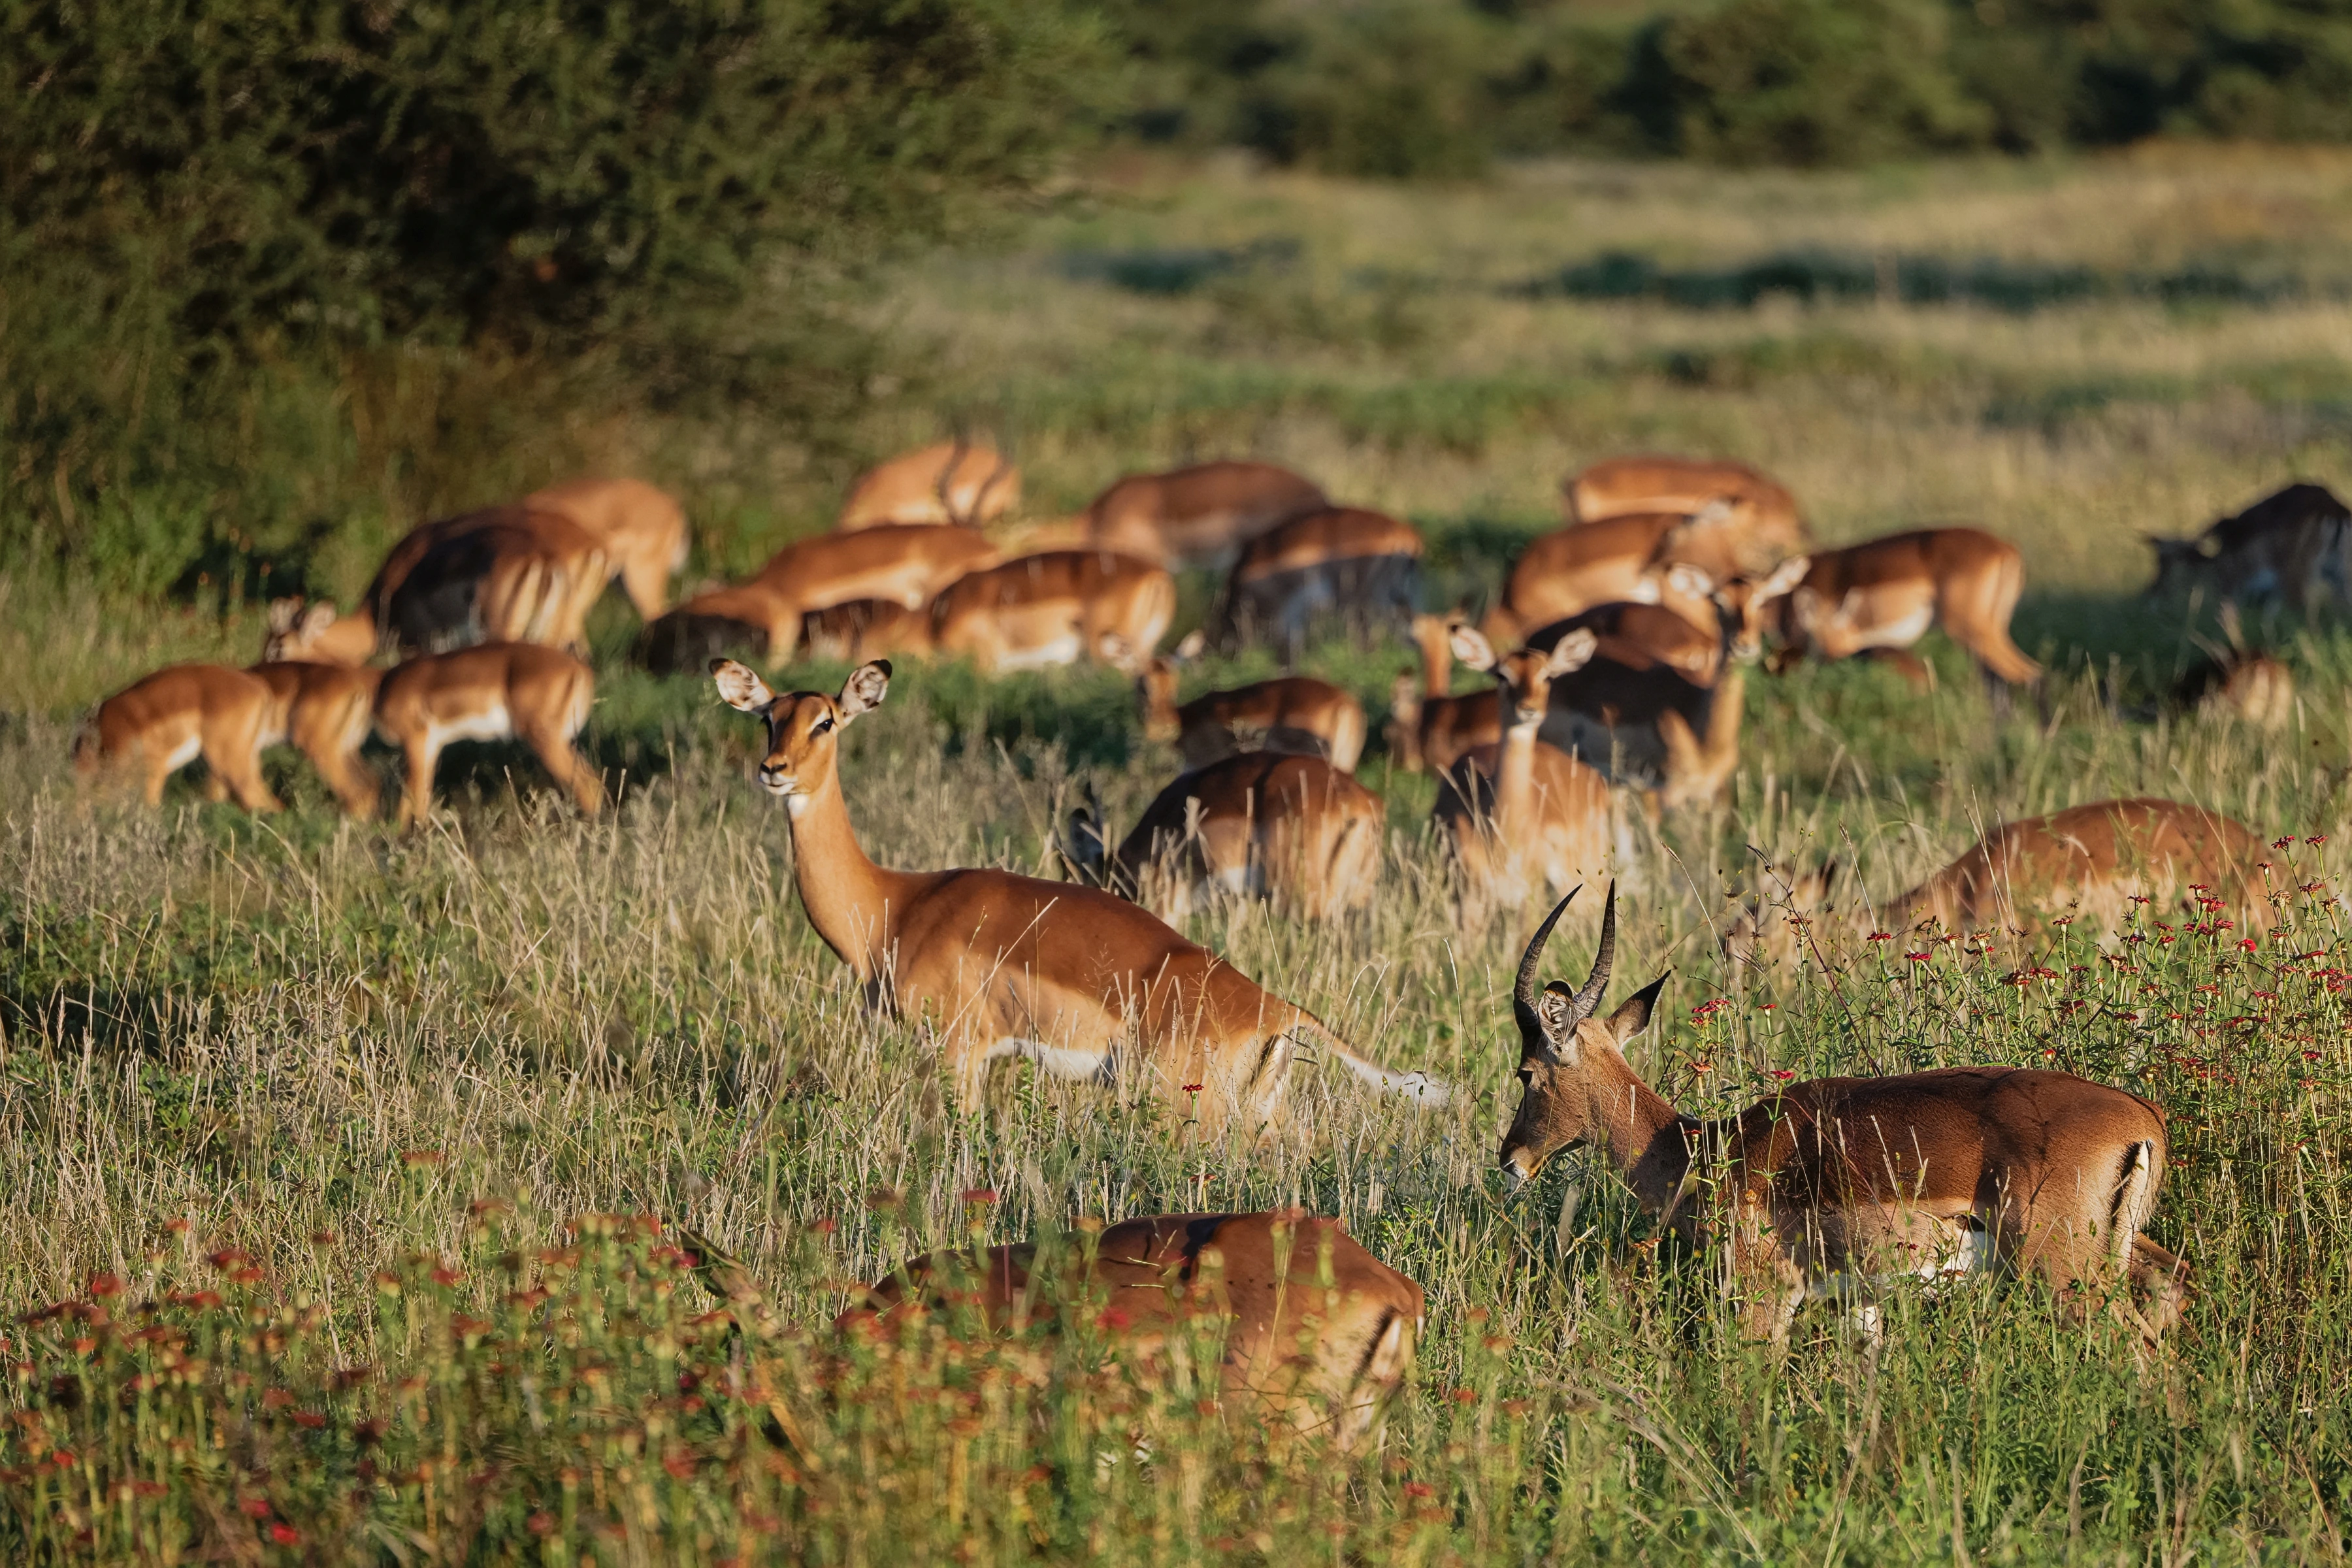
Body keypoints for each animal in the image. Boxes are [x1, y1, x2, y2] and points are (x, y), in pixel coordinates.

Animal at [374, 644, 604, 829]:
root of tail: (580, 669)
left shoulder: (417, 742)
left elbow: (416, 800)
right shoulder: (430, 747)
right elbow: (413, 798)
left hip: (547, 742)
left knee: (588, 786)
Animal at [1502, 886, 2190, 1347]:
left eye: (1527, 1073)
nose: (1511, 1160)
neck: (1705, 1148)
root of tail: (2144, 1118)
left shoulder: (1766, 1297)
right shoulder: (1859, 1304)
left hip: (2063, 1269)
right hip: (2118, 1252)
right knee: (2172, 1290)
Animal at [2146, 481, 2350, 614]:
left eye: (2166, 563)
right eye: (2156, 561)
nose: (2151, 594)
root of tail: (2335, 509)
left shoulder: (2233, 589)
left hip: (2297, 571)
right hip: (2339, 572)